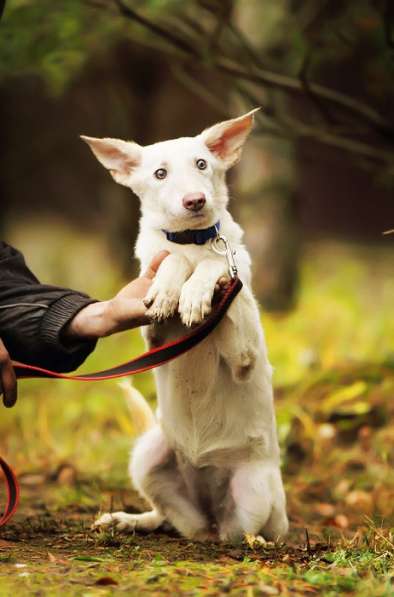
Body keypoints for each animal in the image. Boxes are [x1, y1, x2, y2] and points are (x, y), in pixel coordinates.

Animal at [81, 109, 288, 544]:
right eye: (160, 173)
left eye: (202, 164)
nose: (195, 200)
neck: (192, 241)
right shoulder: (153, 335)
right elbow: (170, 262)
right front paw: (169, 290)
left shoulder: (244, 353)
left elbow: (215, 264)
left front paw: (195, 291)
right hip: (148, 455)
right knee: (172, 519)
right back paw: (128, 520)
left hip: (253, 491)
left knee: (239, 532)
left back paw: (258, 540)